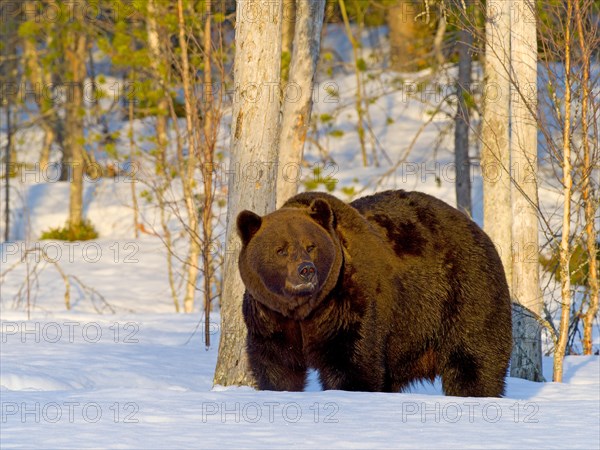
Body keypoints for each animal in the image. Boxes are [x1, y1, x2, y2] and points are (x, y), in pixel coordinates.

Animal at [237, 190, 512, 398]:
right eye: (281, 250)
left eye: (311, 246)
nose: (306, 270)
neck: (305, 310)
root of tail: (477, 228)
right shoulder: (270, 316)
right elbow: (276, 366)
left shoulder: (350, 306)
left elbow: (354, 364)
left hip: (465, 297)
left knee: (475, 363)